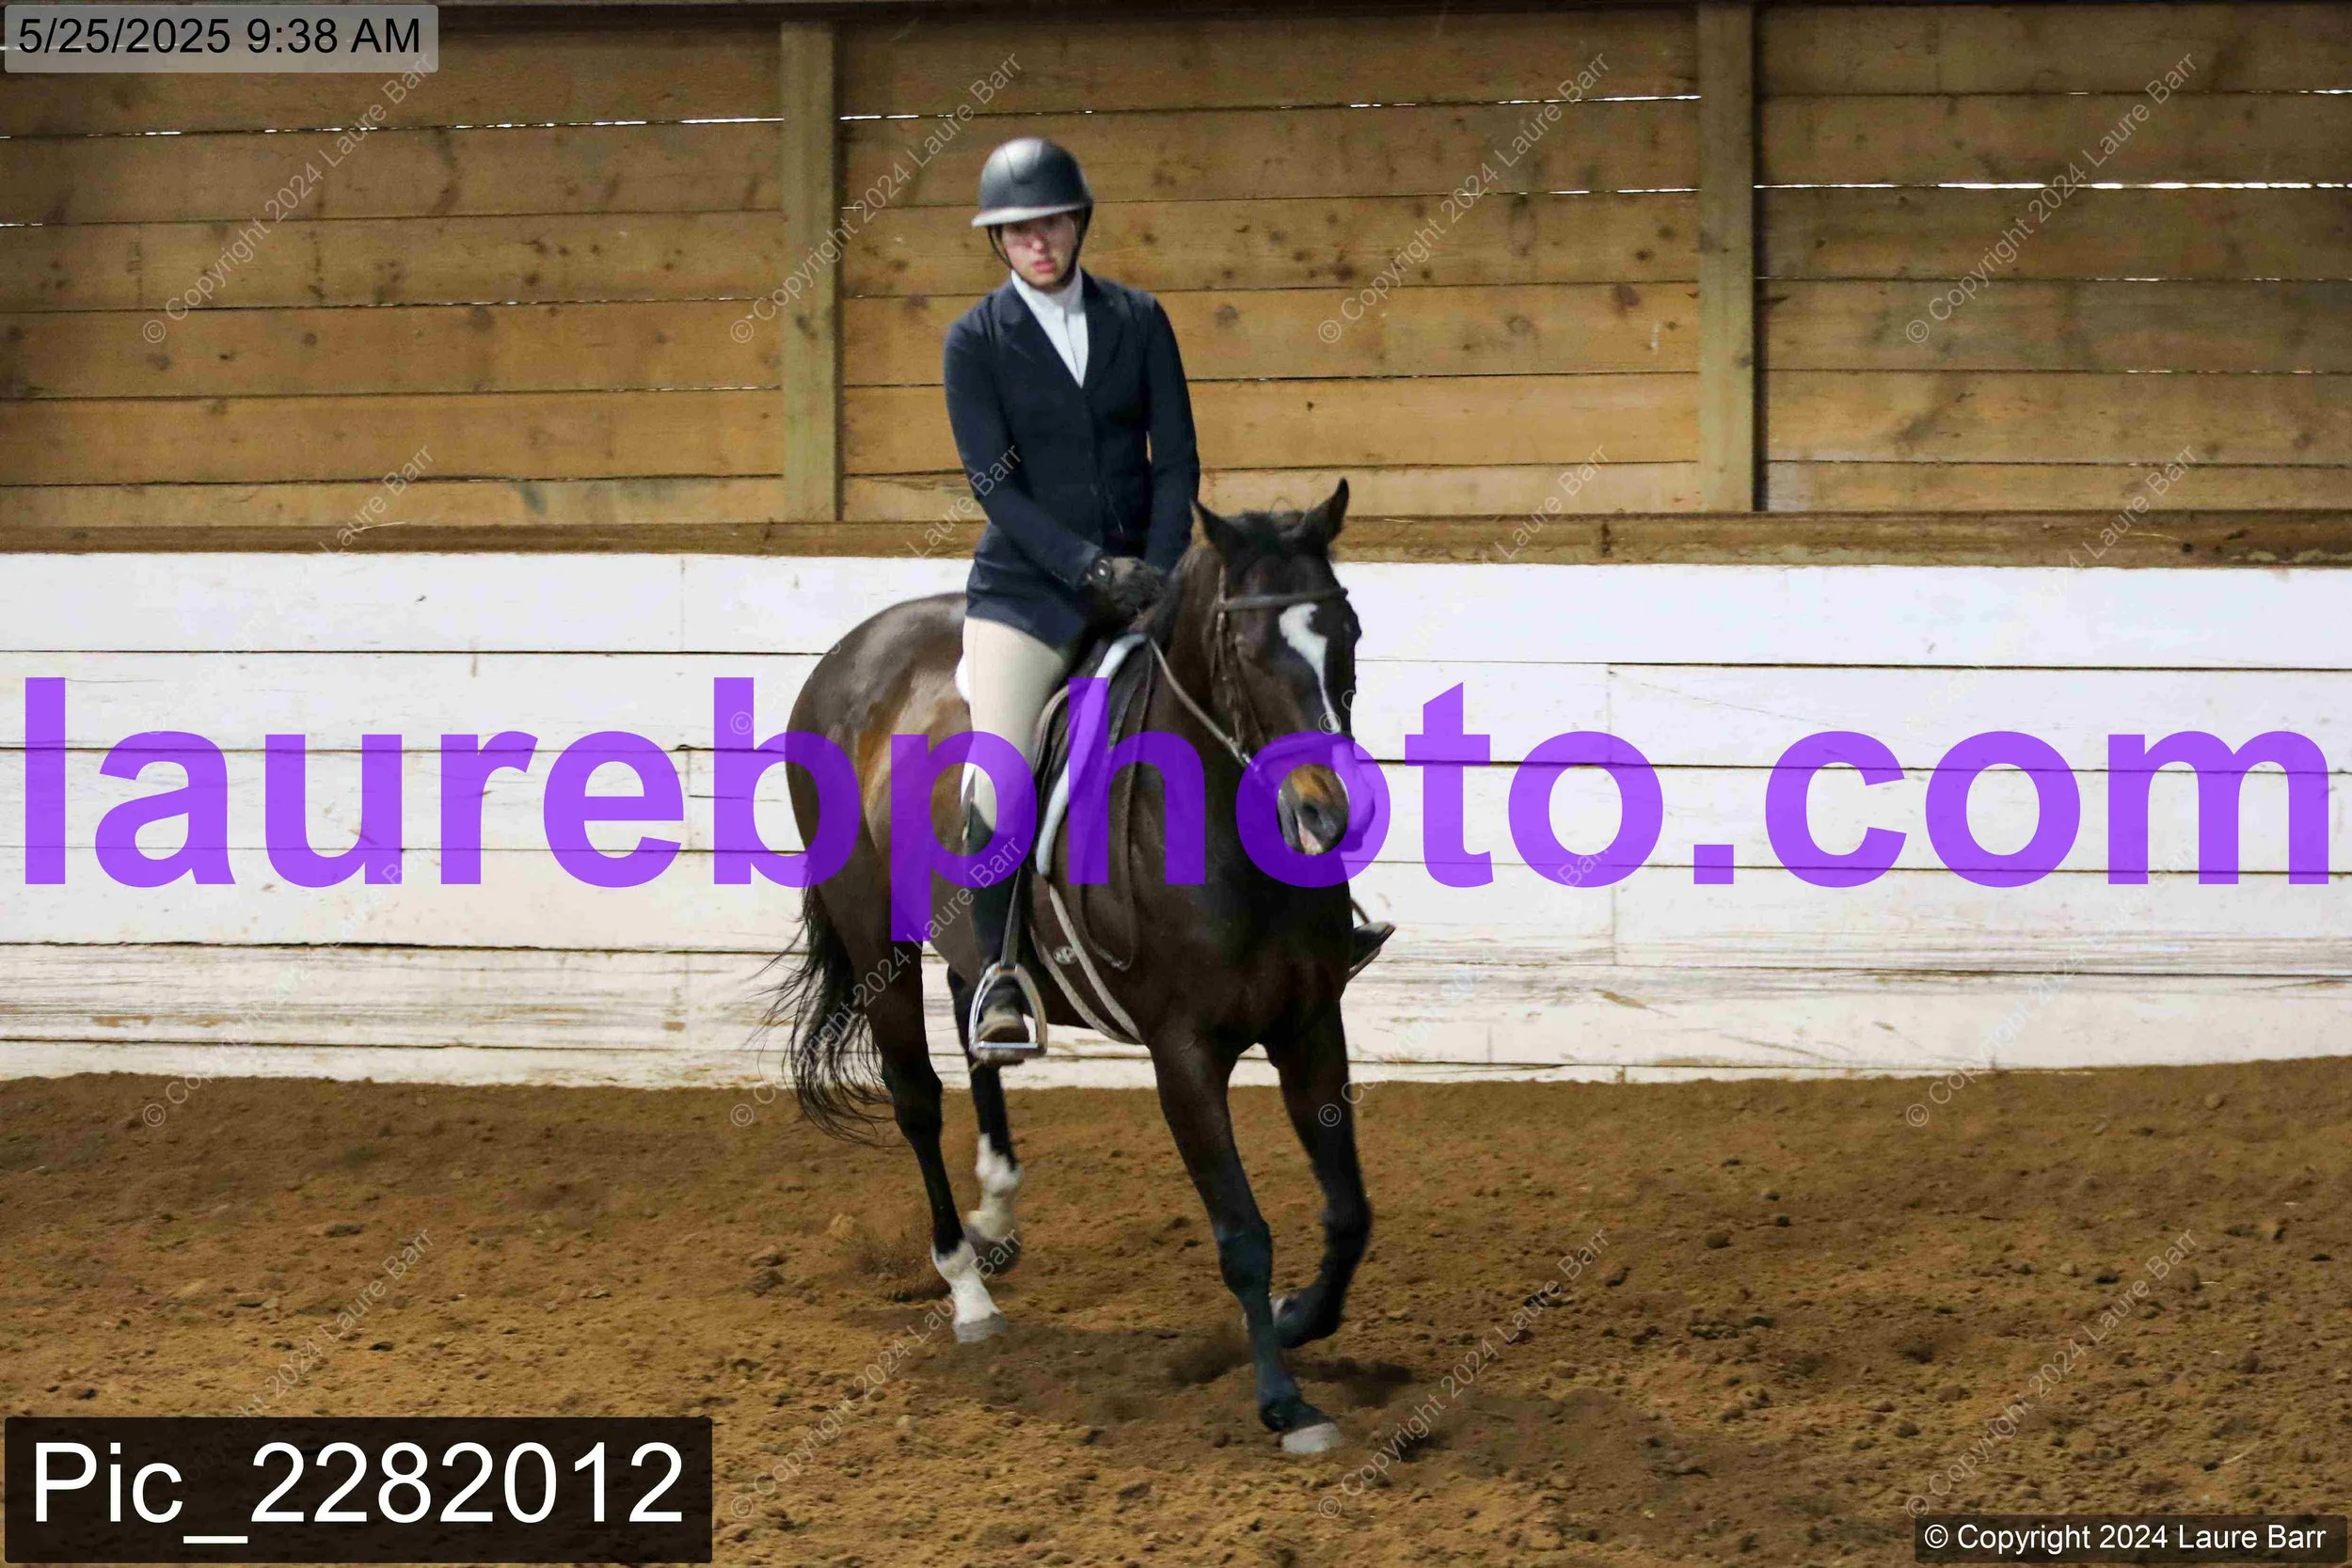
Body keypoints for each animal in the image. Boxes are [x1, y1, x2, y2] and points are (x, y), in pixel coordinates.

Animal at [765, 479, 1374, 1453]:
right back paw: (966, 1284)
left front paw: (1295, 1318)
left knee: (978, 1023)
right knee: (915, 1099)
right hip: (875, 942)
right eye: (1246, 653)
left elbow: (1349, 1212)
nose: (1329, 817)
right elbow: (1242, 1231)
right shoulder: (1184, 1054)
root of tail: (849, 653)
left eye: (1346, 634)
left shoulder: (1312, 1025)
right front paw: (1284, 1400)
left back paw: (996, 1207)